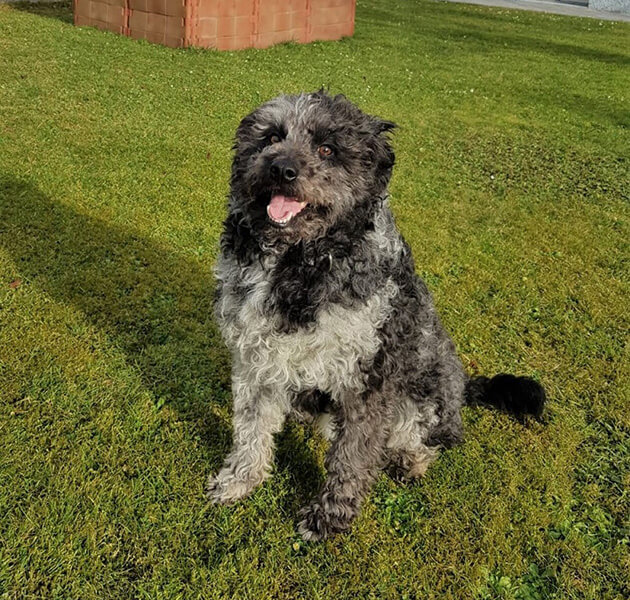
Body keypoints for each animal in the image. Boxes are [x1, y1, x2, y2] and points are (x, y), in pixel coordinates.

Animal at [207, 90, 545, 541]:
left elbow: (351, 458)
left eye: (327, 149)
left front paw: (329, 516)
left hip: (427, 396)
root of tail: (463, 388)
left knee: (432, 439)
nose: (282, 169)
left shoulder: (368, 378)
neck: (300, 262)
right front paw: (240, 480)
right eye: (272, 137)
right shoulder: (255, 359)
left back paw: (411, 460)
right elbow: (251, 428)